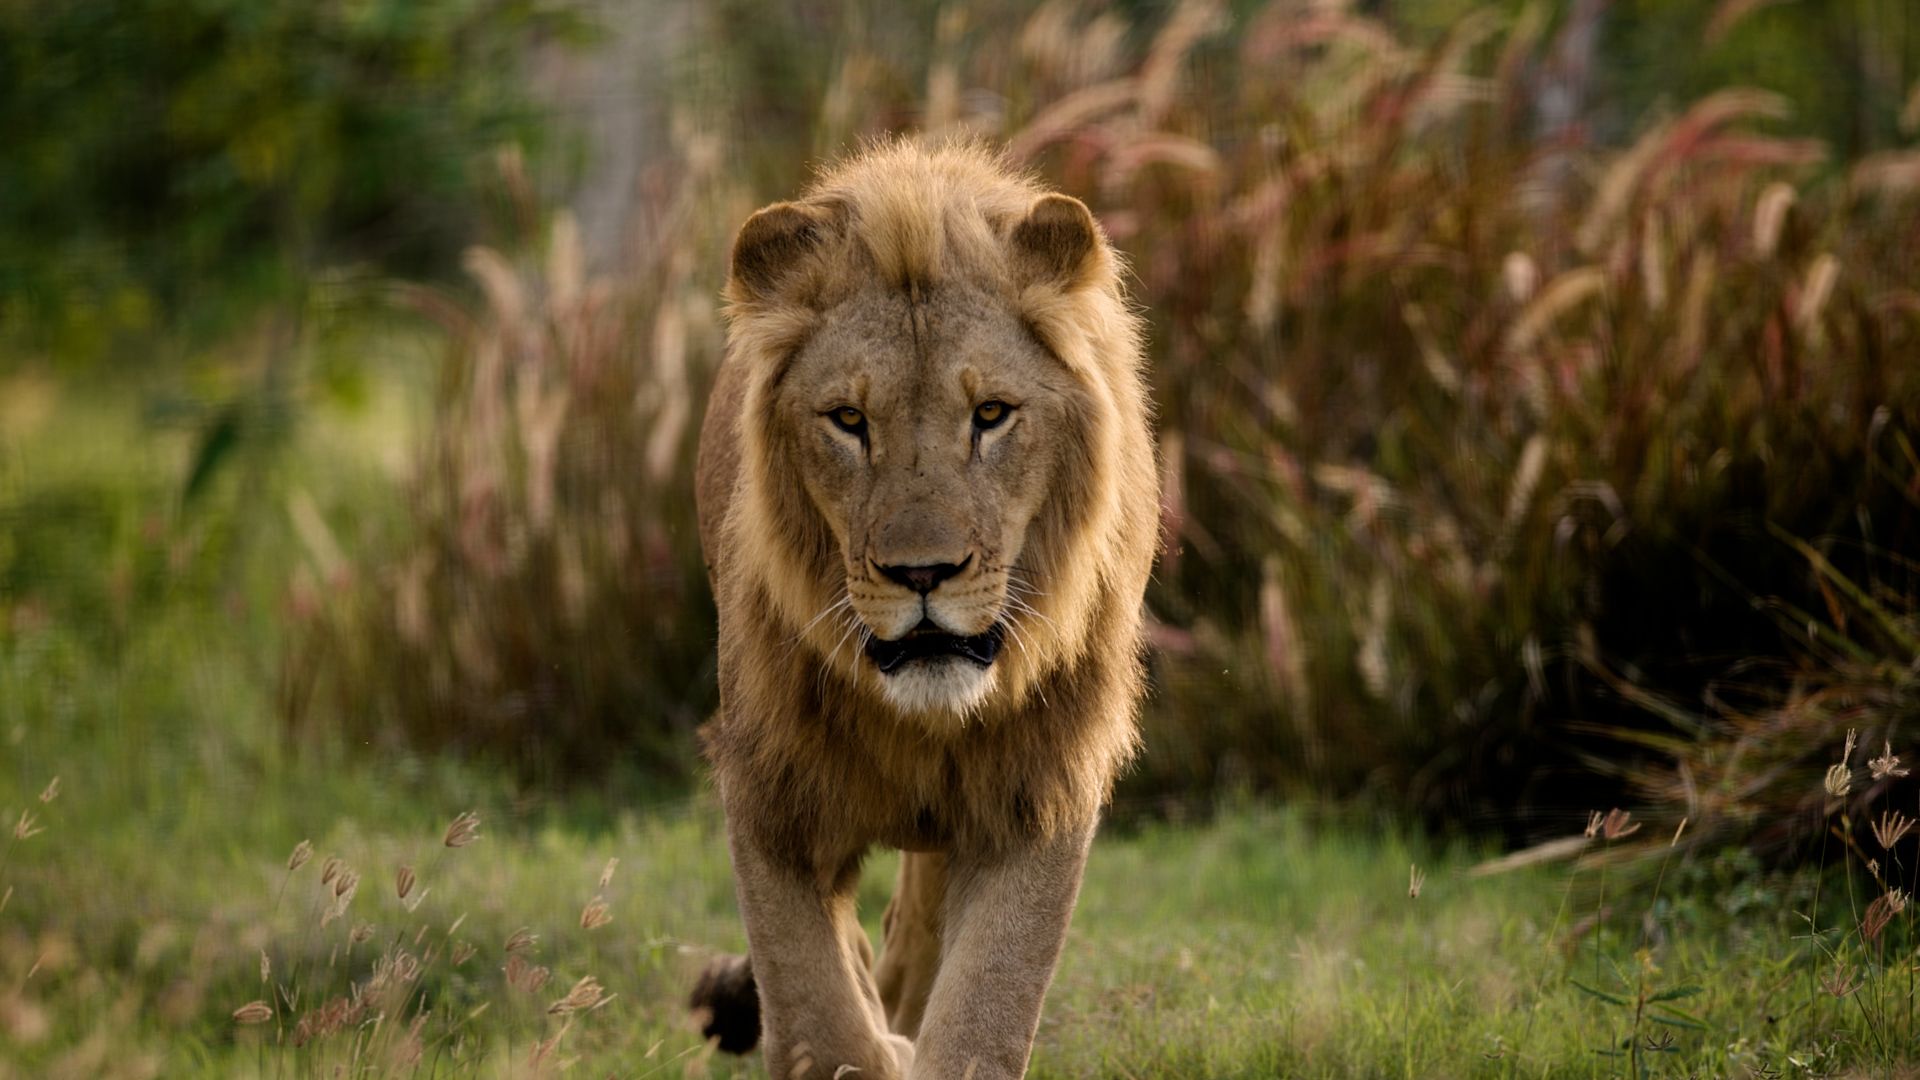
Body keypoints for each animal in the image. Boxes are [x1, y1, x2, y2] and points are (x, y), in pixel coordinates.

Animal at [689, 139, 1158, 1080]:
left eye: (992, 414)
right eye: (847, 419)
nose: (922, 574)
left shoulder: (1042, 785)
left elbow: (985, 1011)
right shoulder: (767, 788)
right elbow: (817, 1012)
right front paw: (854, 1042)